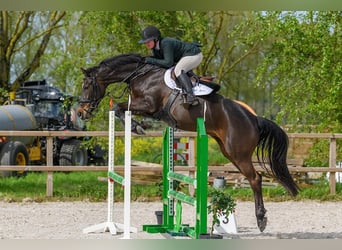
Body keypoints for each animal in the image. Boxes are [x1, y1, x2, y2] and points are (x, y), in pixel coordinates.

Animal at [77, 52, 300, 232]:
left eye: (86, 85)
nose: (80, 112)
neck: (139, 75)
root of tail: (253, 118)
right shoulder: (143, 107)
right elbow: (120, 109)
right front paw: (137, 126)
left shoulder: (148, 105)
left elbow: (119, 108)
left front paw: (136, 127)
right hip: (228, 151)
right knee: (253, 177)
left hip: (238, 152)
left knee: (255, 179)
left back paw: (261, 220)